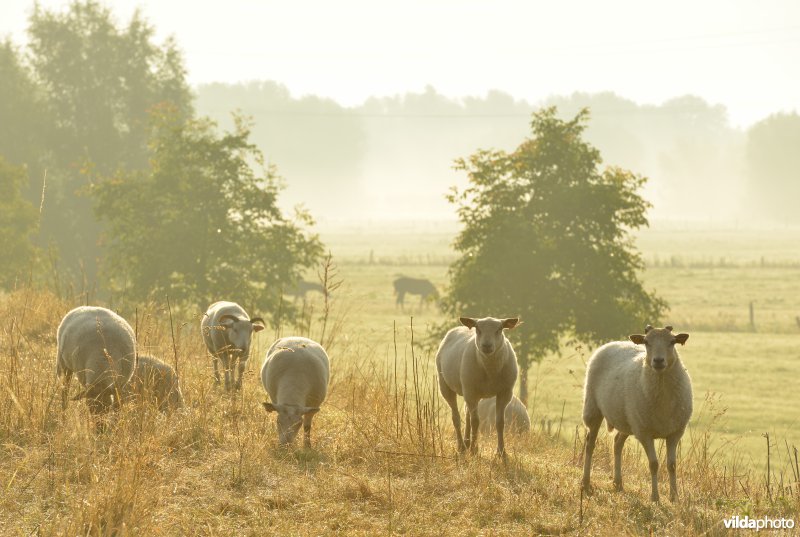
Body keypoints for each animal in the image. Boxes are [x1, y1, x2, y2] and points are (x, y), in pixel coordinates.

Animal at [434, 314, 520, 456]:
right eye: (478, 329)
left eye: (499, 329)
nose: (486, 345)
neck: (490, 370)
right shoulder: (470, 391)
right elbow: (476, 422)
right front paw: (475, 450)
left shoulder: (505, 393)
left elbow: (500, 422)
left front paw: (501, 452)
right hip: (446, 386)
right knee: (456, 418)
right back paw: (462, 447)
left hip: (472, 392)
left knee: (467, 414)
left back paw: (467, 441)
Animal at [580, 322, 692, 502]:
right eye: (646, 342)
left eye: (672, 342)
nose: (658, 361)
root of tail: (611, 343)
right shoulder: (644, 433)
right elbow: (654, 464)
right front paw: (655, 497)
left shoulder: (675, 432)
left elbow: (672, 465)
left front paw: (674, 496)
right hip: (593, 408)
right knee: (590, 444)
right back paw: (586, 482)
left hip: (628, 419)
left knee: (617, 442)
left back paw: (618, 483)